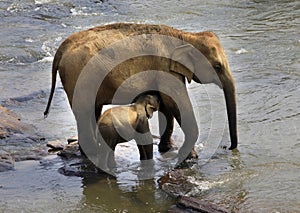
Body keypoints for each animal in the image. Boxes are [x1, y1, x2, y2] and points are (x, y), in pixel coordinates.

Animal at [43, 22, 238, 163]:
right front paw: (190, 157)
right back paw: (93, 154)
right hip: (79, 78)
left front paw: (168, 149)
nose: (229, 148)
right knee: (84, 113)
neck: (185, 36)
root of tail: (61, 48)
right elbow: (175, 102)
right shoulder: (166, 67)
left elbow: (166, 104)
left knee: (92, 111)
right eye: (217, 66)